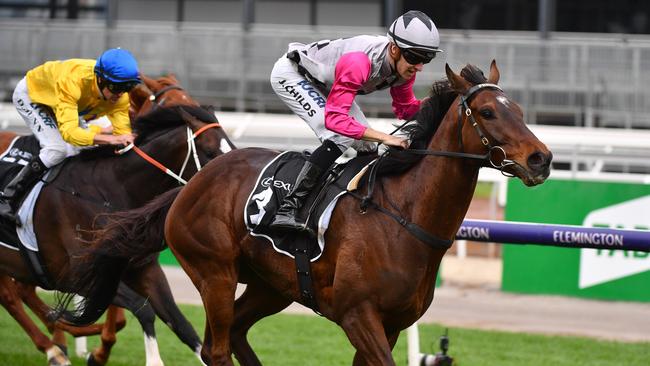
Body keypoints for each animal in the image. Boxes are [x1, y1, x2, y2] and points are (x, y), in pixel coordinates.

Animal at [0, 99, 233, 364]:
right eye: (210, 152)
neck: (109, 191)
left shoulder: (146, 270)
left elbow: (181, 324)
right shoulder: (75, 275)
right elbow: (144, 308)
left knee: (16, 294)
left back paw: (57, 345)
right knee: (12, 297)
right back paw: (56, 347)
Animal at [60, 61, 548, 364]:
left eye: (521, 110)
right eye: (487, 111)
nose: (542, 159)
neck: (404, 216)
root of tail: (191, 185)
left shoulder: (390, 324)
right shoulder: (358, 316)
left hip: (271, 286)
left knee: (235, 335)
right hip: (215, 273)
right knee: (215, 348)